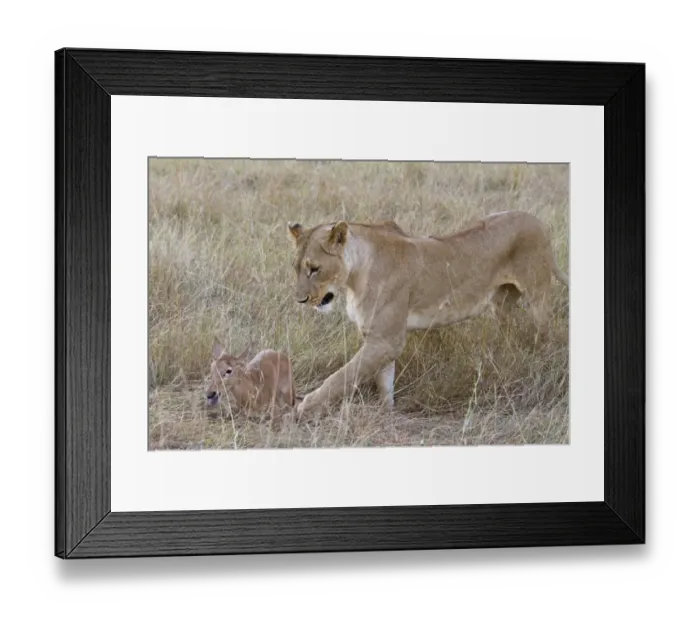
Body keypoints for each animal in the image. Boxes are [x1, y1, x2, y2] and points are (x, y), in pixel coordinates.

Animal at [287, 210, 569, 416]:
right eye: (296, 268)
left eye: (314, 269)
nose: (300, 300)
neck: (354, 276)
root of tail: (537, 220)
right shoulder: (379, 338)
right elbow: (384, 381)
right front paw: (386, 412)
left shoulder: (387, 340)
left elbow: (342, 376)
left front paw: (305, 406)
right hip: (501, 305)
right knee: (510, 334)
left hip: (537, 295)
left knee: (547, 335)